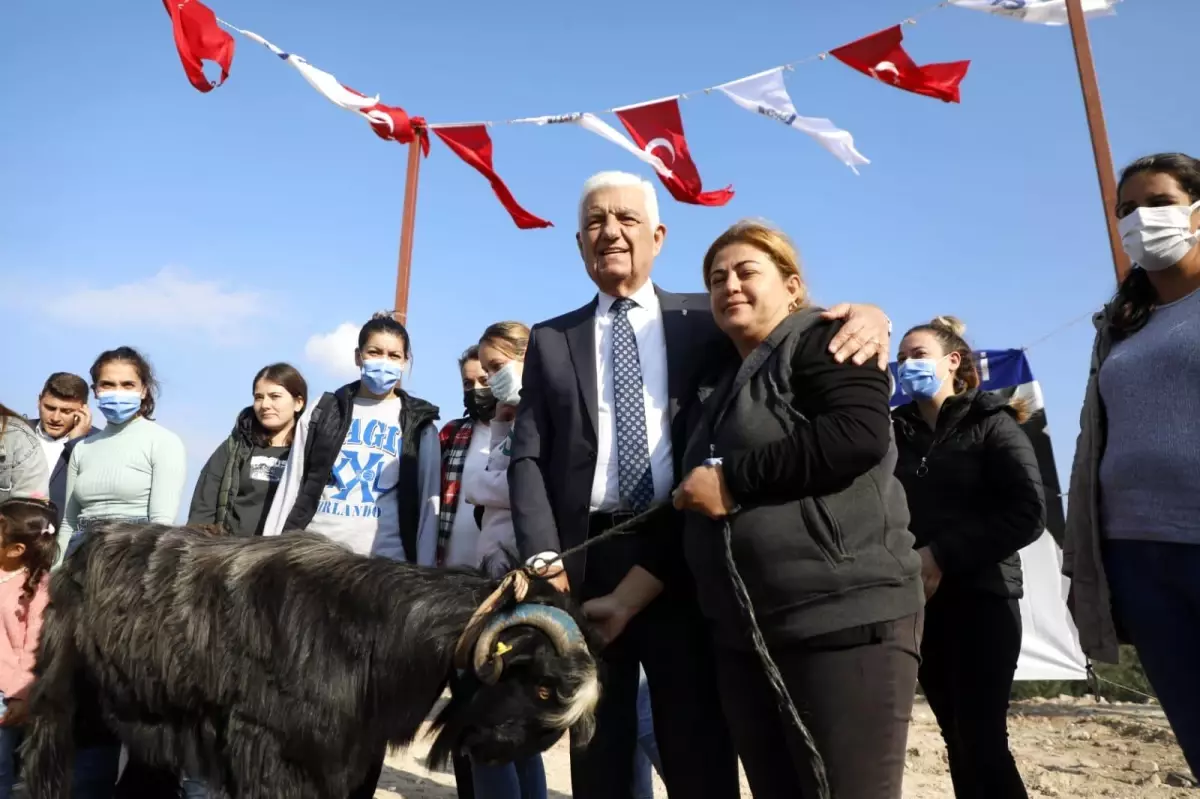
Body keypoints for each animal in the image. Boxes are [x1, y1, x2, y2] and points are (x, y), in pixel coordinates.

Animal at [18, 523, 600, 796]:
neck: (374, 630)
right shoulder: (275, 755)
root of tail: (88, 542)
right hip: (61, 695)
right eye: (543, 686)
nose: (492, 752)